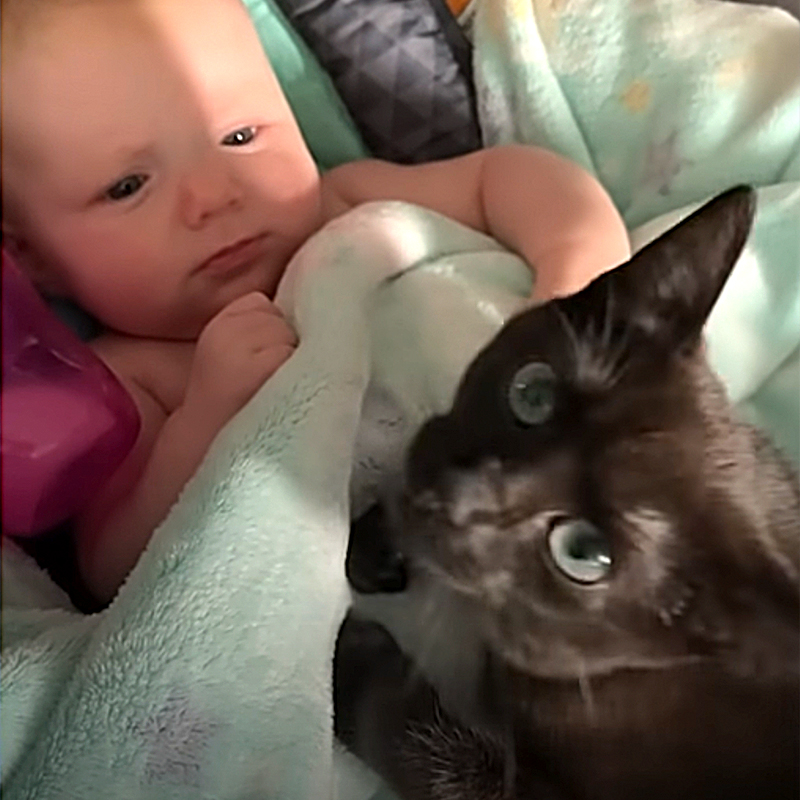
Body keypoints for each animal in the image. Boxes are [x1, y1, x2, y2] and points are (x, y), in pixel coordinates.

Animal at [332, 186, 800, 800]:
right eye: (532, 394)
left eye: (583, 554)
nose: (455, 496)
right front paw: (377, 538)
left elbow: (427, 748)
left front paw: (348, 656)